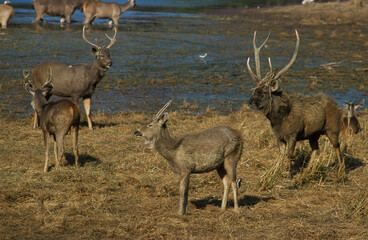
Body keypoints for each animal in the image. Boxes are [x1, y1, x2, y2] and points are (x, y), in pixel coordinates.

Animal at [246, 30, 344, 176]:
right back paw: (309, 171)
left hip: (333, 127)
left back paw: (341, 170)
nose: (250, 100)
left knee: (337, 146)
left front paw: (288, 173)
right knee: (316, 149)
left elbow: (290, 155)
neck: (278, 119)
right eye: (255, 90)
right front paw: (274, 172)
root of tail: (337, 105)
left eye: (263, 92)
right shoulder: (278, 136)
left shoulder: (293, 134)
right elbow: (280, 154)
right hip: (313, 134)